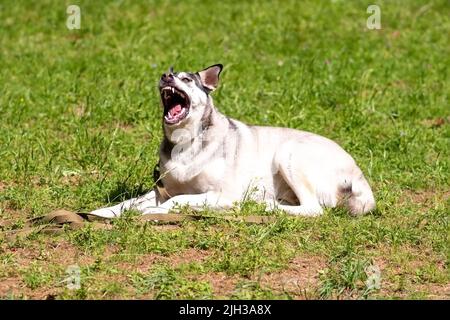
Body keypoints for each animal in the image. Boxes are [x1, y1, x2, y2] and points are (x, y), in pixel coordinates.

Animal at [89, 63, 374, 218]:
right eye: (169, 74)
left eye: (187, 79)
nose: (165, 76)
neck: (185, 142)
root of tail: (360, 178)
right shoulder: (159, 190)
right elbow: (126, 203)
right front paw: (100, 213)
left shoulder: (219, 194)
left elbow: (178, 201)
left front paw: (155, 212)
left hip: (288, 153)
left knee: (312, 209)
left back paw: (264, 207)